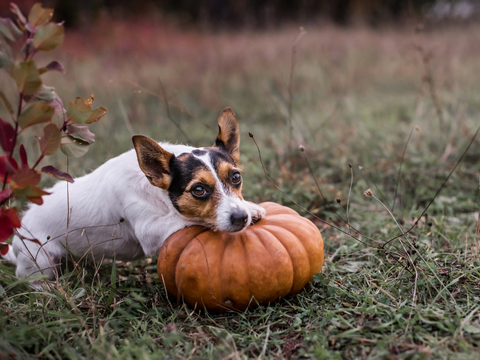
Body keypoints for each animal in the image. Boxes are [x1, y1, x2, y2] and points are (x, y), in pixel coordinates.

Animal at [4, 107, 266, 282]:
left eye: (236, 177)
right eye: (198, 190)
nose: (240, 218)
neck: (158, 195)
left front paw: (251, 206)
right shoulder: (151, 232)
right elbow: (186, 219)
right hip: (41, 261)